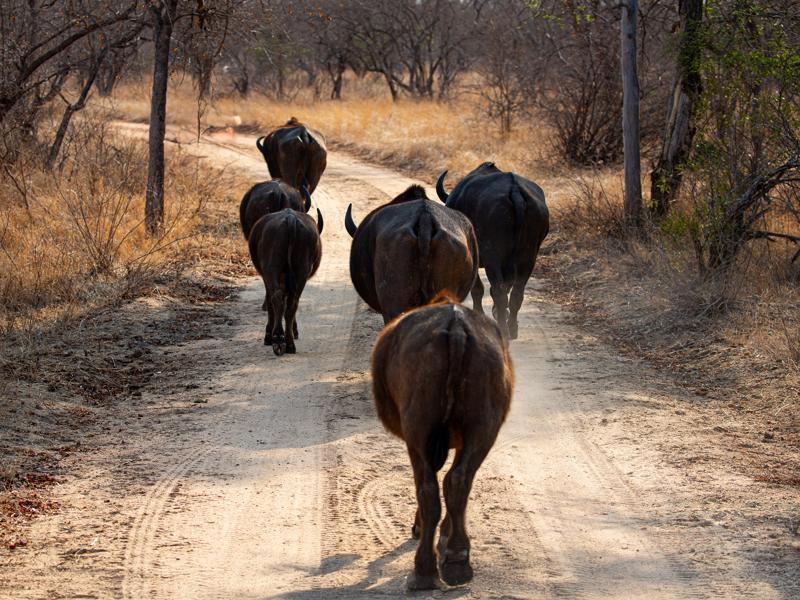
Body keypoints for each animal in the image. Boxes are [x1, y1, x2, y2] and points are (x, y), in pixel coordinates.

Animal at [248, 208, 323, 356]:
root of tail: (290, 219)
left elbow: (271, 303)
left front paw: (268, 335)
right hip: (301, 271)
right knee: (291, 303)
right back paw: (288, 343)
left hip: (271, 269)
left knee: (277, 298)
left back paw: (278, 339)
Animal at [371, 293, 514, 590]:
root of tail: (456, 326)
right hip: (483, 426)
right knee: (458, 481)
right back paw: (457, 560)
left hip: (418, 433)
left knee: (428, 489)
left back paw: (423, 571)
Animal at [437, 162, 549, 339]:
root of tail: (515, 191)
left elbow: (478, 288)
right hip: (529, 256)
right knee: (516, 293)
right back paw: (512, 328)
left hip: (493, 256)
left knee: (499, 292)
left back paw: (503, 329)